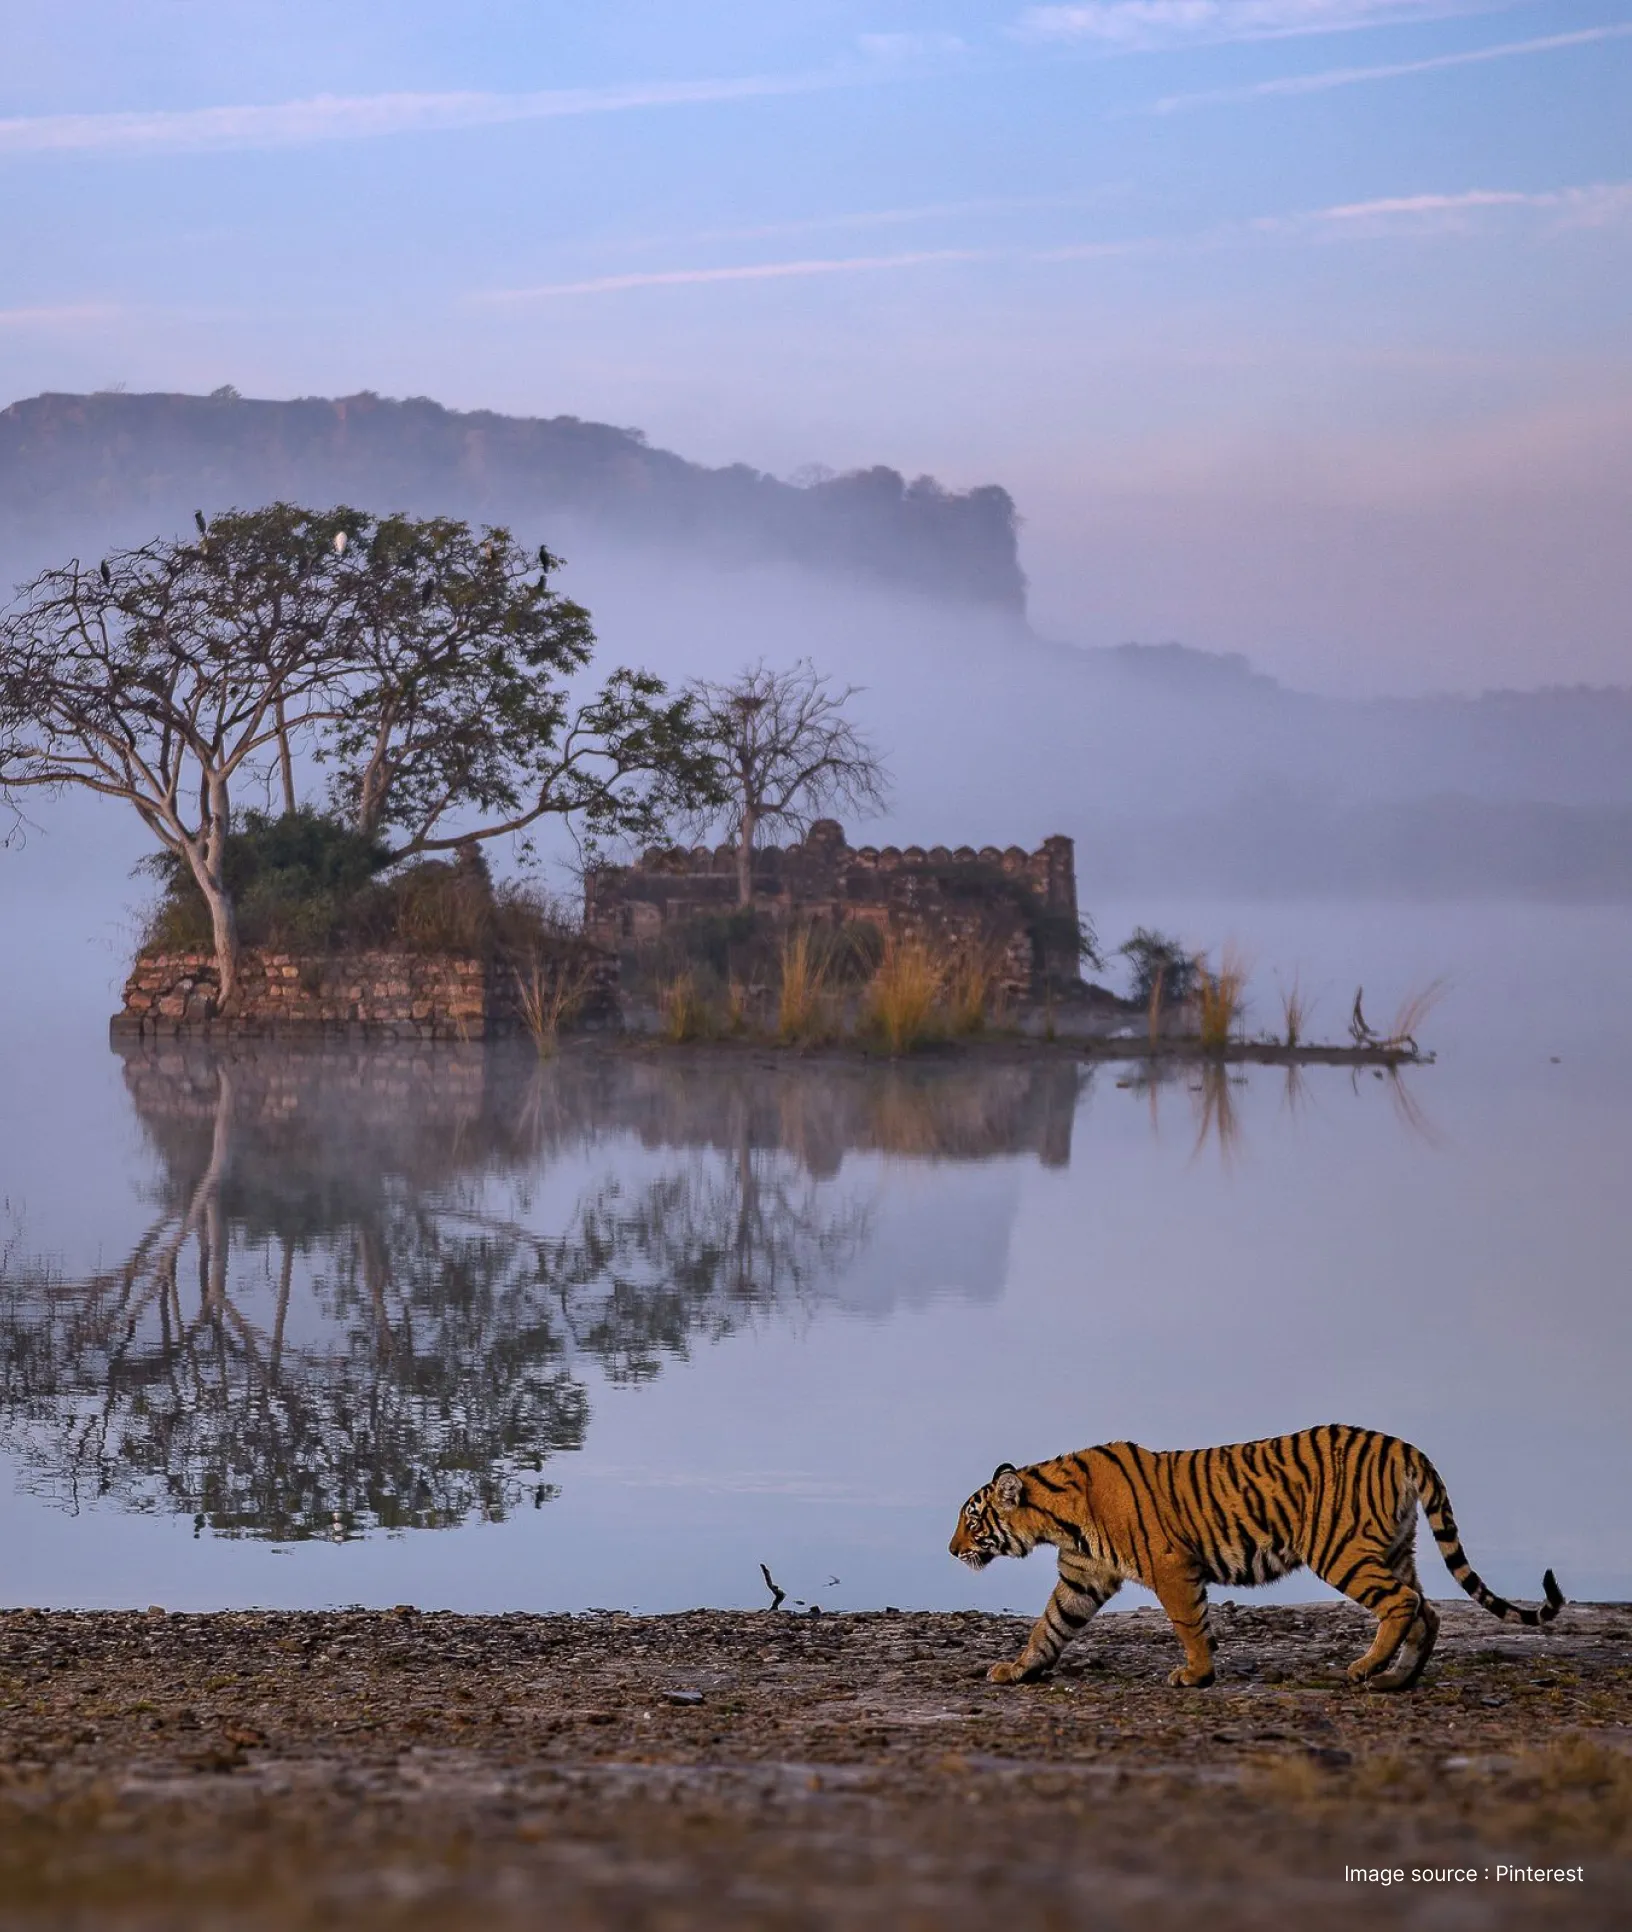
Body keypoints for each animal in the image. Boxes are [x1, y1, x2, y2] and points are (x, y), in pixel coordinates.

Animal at [948, 1424, 1564, 1692]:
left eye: (972, 1520)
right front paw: (1018, 1669)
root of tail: (1403, 1445)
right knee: (1427, 1610)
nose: (952, 1550)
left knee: (1403, 1603)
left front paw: (1196, 1675)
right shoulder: (1082, 1578)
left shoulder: (1171, 1567)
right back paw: (1397, 1679)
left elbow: (1189, 1623)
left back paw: (1363, 1669)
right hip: (1393, 1547)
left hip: (1340, 1550)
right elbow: (1048, 1626)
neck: (1058, 1518)